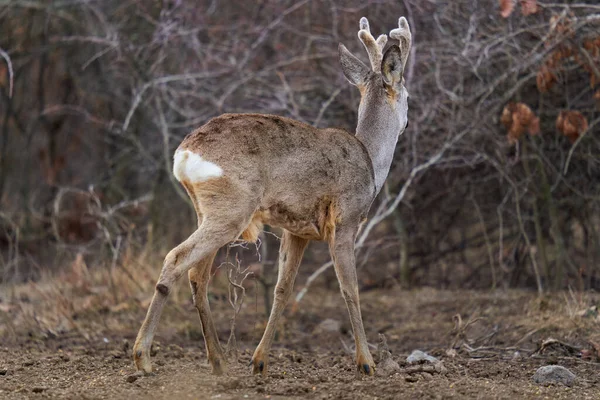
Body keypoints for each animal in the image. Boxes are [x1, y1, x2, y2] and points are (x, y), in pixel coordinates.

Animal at [133, 15, 410, 376]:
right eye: (407, 93)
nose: (407, 122)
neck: (369, 162)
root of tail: (184, 153)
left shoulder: (297, 231)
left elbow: (282, 288)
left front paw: (260, 360)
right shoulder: (346, 220)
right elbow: (350, 288)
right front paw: (366, 363)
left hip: (207, 210)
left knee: (198, 275)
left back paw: (219, 361)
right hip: (232, 208)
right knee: (176, 259)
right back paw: (143, 356)